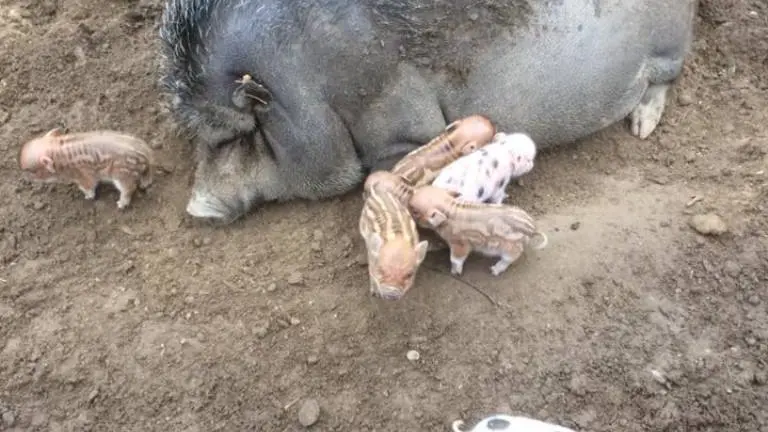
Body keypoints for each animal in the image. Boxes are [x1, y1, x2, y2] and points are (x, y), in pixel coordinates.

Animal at [159, 0, 700, 223]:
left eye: (238, 134)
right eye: (203, 137)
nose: (194, 208)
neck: (311, 85)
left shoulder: (397, 116)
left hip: (671, 43)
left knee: (666, 78)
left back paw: (641, 128)